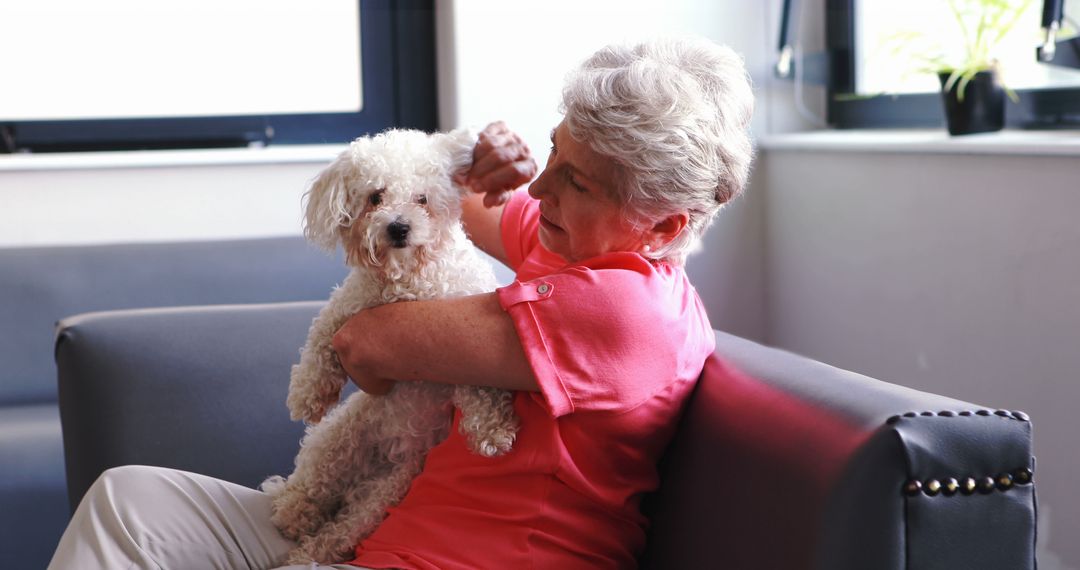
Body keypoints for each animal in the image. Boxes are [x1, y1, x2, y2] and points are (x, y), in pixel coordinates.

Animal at [259, 127, 516, 565]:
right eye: (375, 196)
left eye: (422, 199)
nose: (398, 227)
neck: (408, 280)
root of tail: (385, 454)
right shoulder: (349, 306)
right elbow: (320, 339)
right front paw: (307, 395)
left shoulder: (464, 332)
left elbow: (481, 385)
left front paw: (494, 432)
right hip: (337, 440)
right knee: (309, 486)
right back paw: (292, 513)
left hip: (384, 493)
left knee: (338, 531)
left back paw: (304, 553)